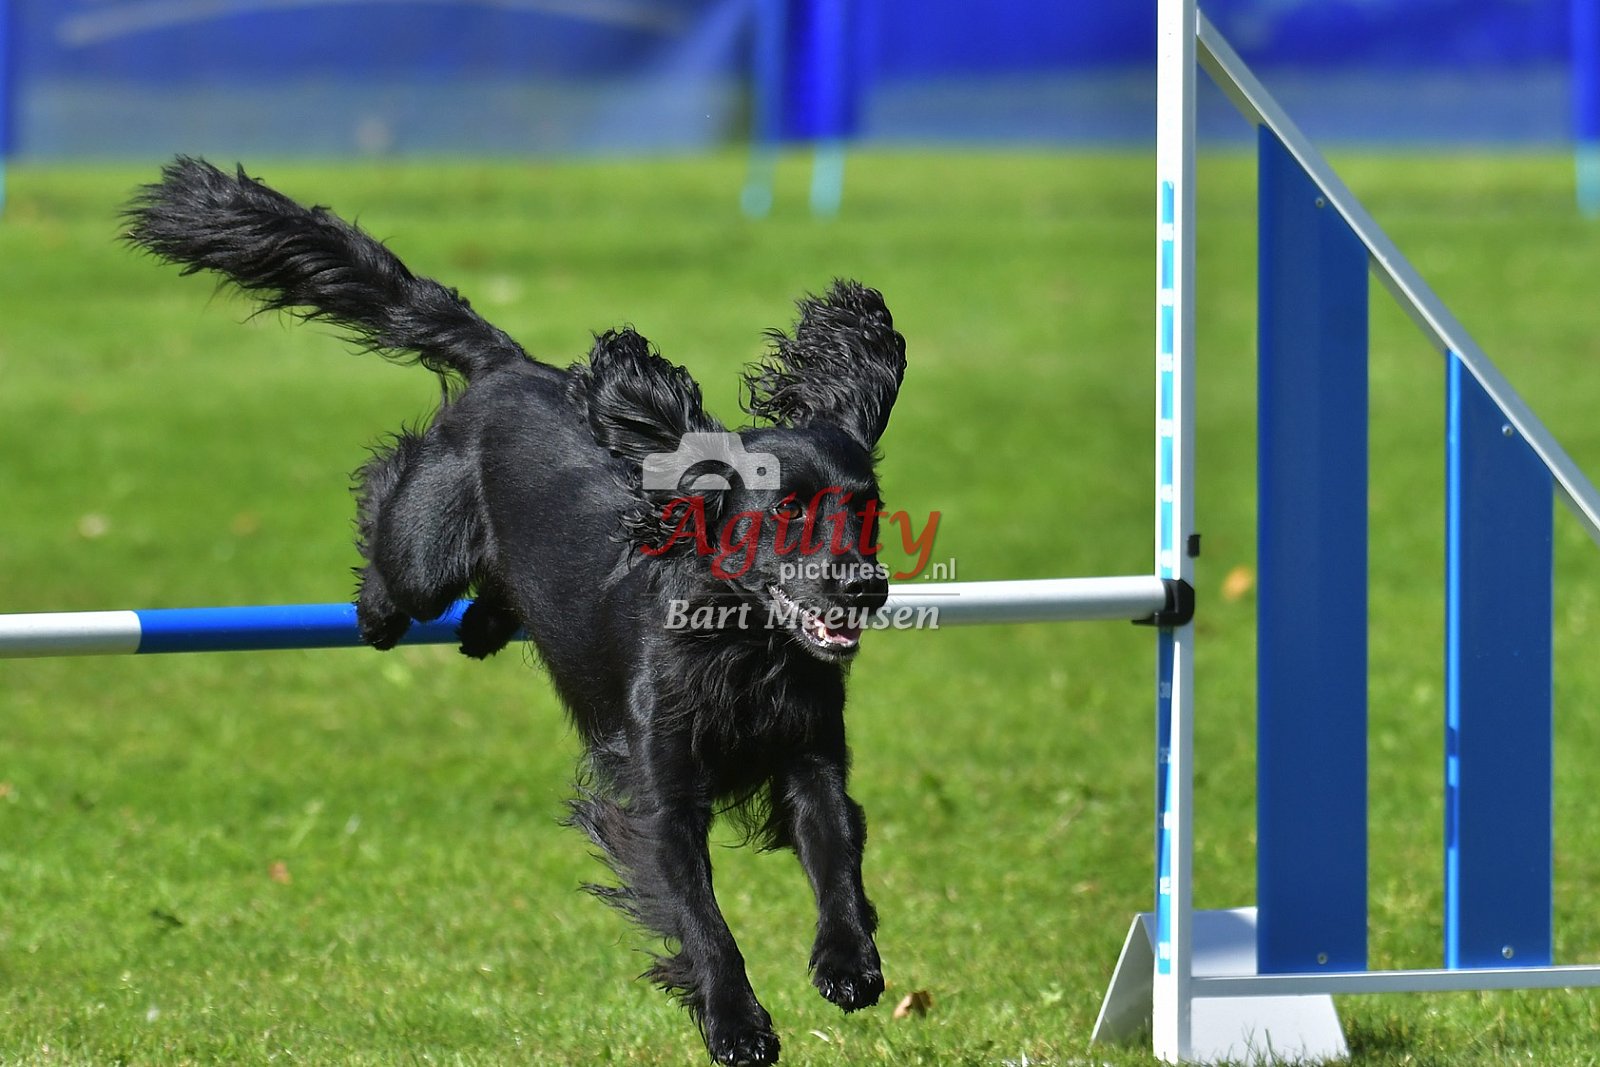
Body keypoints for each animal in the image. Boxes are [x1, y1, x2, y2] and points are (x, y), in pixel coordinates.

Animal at [124, 157, 905, 1066]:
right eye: (784, 511)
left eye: (867, 510)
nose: (866, 587)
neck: (743, 645)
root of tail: (511, 366)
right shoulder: (662, 790)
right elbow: (702, 915)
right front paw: (737, 1022)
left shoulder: (811, 753)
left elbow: (836, 852)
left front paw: (849, 963)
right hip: (422, 548)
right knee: (389, 514)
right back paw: (379, 609)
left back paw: (483, 625)